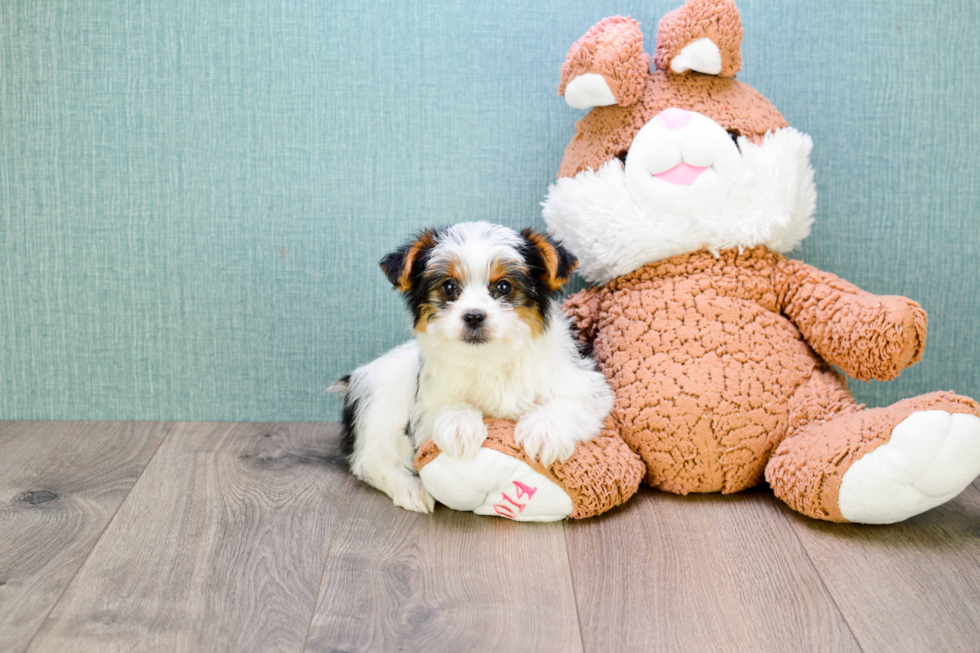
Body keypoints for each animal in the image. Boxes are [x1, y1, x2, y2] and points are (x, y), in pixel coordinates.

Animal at [334, 222, 616, 512]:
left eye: (503, 286)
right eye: (449, 286)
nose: (473, 316)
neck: (488, 357)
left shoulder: (585, 382)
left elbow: (572, 401)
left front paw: (544, 431)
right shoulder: (426, 407)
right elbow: (444, 408)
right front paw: (460, 425)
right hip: (380, 403)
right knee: (370, 460)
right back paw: (410, 488)